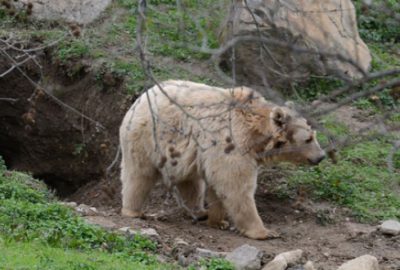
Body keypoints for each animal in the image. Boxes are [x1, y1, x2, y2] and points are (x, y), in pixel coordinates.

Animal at [119, 80, 324, 240]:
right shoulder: (232, 143)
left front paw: (218, 221)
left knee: (191, 183)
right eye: (308, 139)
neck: (255, 134)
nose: (321, 156)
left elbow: (218, 185)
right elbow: (236, 186)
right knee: (139, 175)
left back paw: (200, 212)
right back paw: (133, 210)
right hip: (147, 137)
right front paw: (264, 231)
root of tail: (139, 99)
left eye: (313, 134)